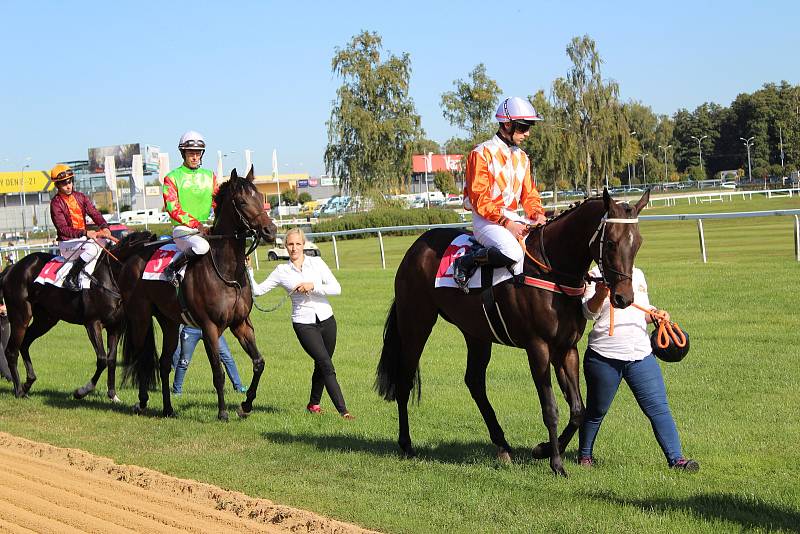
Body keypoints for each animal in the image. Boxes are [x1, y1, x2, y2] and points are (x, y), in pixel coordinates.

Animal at [0, 232, 158, 400]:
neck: (108, 277)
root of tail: (12, 268)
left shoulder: (114, 327)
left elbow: (111, 359)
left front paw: (112, 394)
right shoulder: (93, 323)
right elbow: (102, 359)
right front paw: (82, 391)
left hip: (46, 320)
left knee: (25, 343)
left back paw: (28, 383)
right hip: (20, 316)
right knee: (11, 351)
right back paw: (19, 390)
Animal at [119, 169, 278, 422]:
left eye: (261, 197)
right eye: (243, 202)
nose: (270, 231)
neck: (227, 273)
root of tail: (132, 258)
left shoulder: (241, 323)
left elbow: (259, 362)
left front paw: (245, 405)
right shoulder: (209, 327)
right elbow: (217, 371)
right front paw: (222, 412)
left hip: (169, 322)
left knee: (164, 363)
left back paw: (167, 408)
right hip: (140, 318)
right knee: (141, 358)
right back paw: (142, 402)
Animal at [376, 189, 648, 478]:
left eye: (638, 243)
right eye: (611, 243)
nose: (623, 298)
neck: (552, 272)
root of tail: (416, 247)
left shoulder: (566, 348)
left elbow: (578, 410)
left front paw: (543, 450)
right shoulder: (537, 347)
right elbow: (550, 408)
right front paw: (556, 463)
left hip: (476, 333)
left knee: (474, 382)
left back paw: (503, 446)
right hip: (416, 324)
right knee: (404, 380)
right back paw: (406, 444)